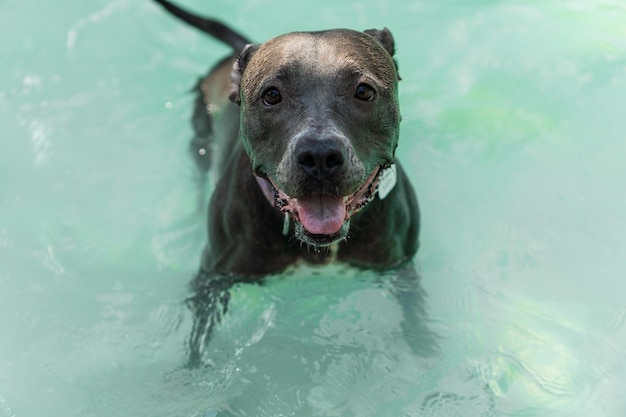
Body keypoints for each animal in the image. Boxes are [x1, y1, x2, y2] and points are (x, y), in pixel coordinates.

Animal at [152, 0, 428, 364]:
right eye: (272, 95)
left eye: (364, 91)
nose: (320, 155)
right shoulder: (212, 279)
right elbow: (198, 344)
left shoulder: (401, 268)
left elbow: (417, 322)